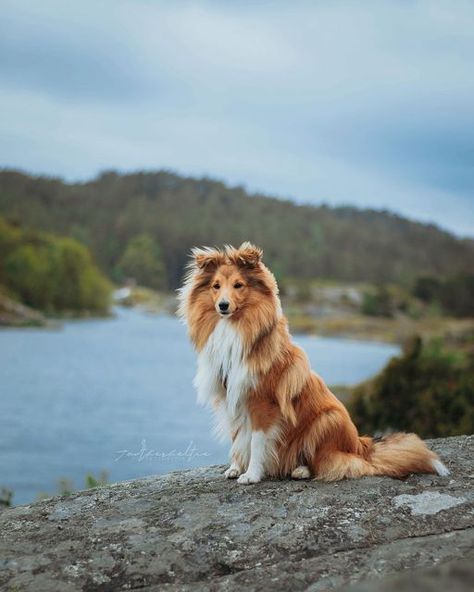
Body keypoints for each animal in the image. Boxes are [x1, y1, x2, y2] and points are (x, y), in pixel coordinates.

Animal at [178, 243, 448, 484]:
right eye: (216, 286)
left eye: (238, 285)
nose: (223, 305)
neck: (233, 330)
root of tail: (360, 445)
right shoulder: (231, 397)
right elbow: (237, 437)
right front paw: (235, 468)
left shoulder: (262, 403)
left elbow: (256, 442)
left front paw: (252, 475)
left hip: (326, 420)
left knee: (333, 463)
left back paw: (301, 470)